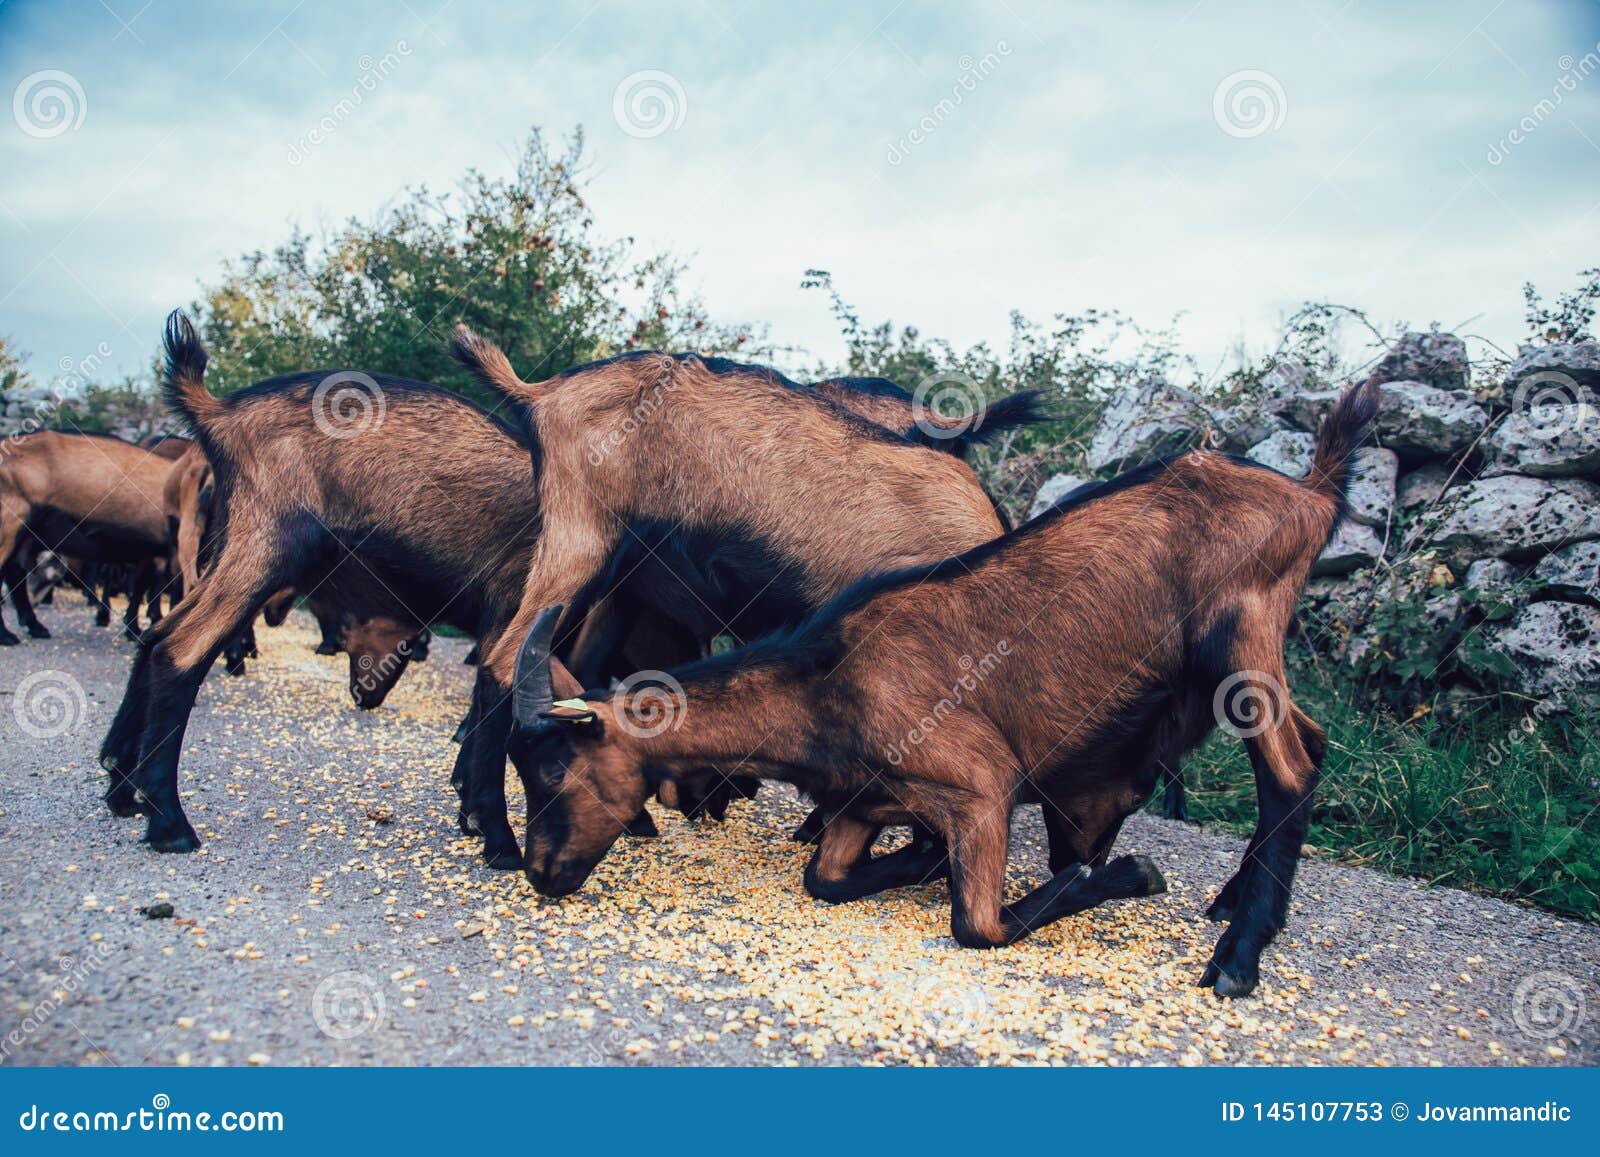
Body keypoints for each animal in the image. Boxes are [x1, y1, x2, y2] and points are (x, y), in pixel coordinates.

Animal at [503, 379, 1381, 999]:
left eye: (553, 768)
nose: (541, 873)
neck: (826, 685)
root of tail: (1309, 492)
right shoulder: (863, 804)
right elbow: (824, 879)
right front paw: (919, 858)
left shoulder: (982, 786)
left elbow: (977, 925)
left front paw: (1122, 873)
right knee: (1313, 741)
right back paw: (1237, 906)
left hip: (1242, 627)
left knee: (1290, 770)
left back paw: (1237, 956)